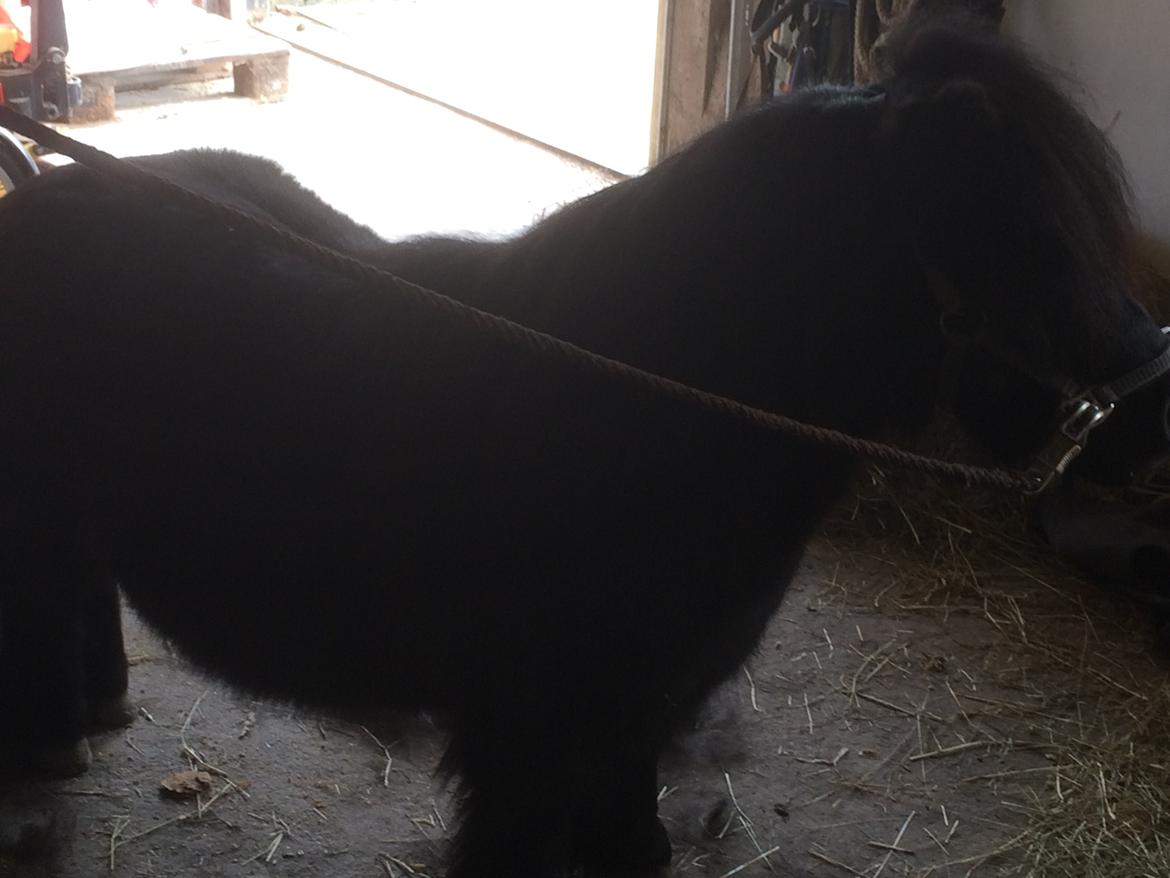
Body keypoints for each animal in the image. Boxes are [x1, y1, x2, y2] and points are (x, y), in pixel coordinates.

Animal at [2, 14, 1169, 877]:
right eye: (1027, 234)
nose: (1151, 404)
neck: (639, 412)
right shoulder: (524, 736)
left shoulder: (637, 716)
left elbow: (630, 832)